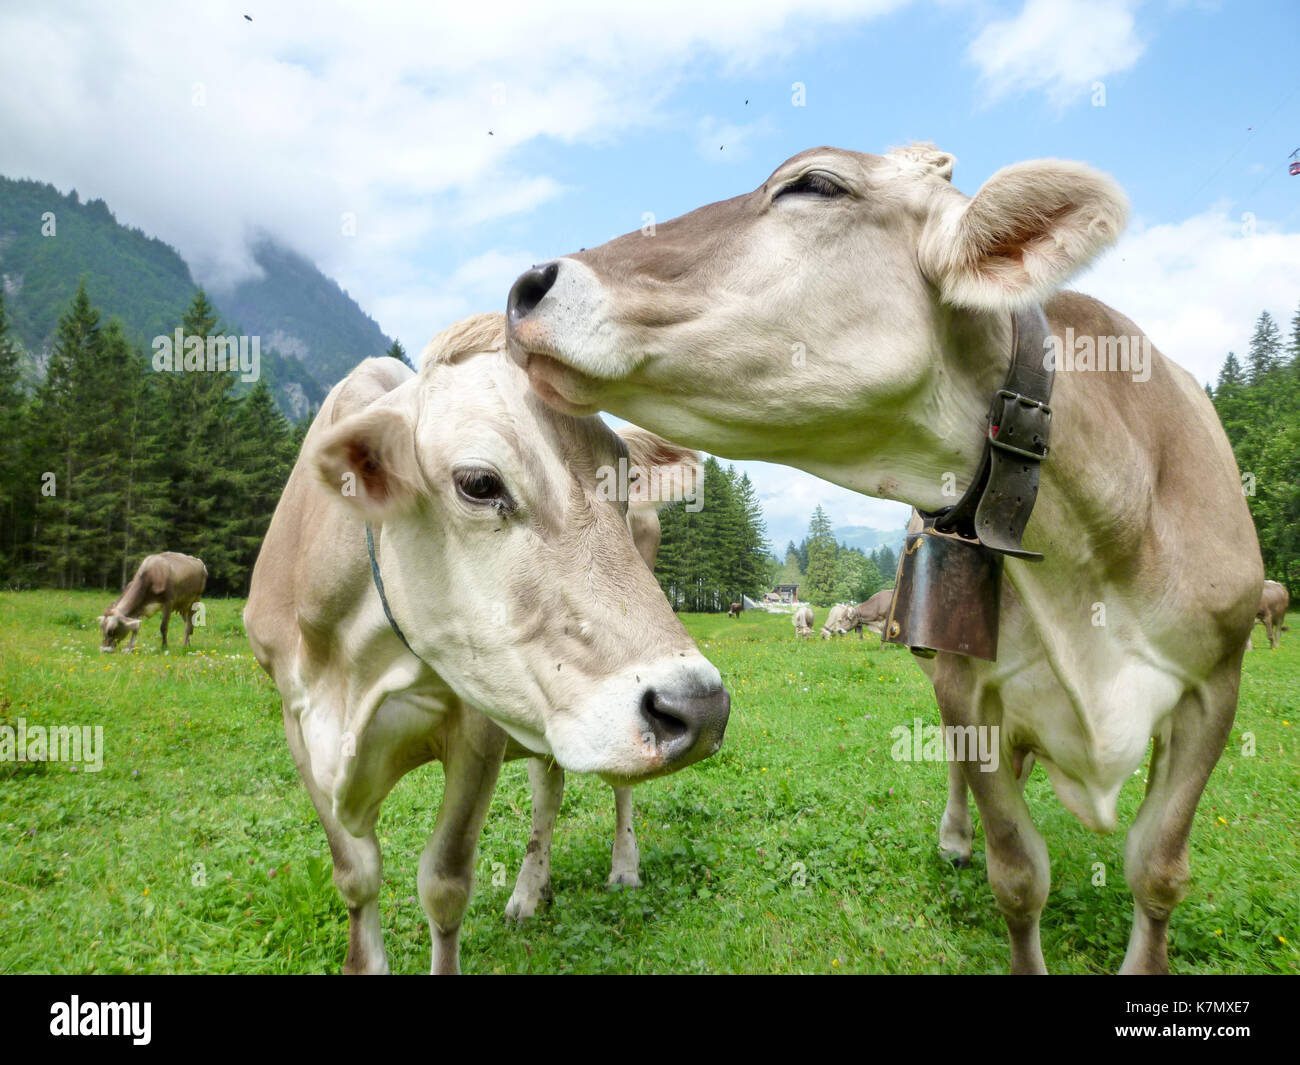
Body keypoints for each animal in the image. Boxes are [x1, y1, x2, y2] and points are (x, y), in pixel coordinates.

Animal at [244, 312, 729, 974]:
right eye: (478, 482)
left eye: (625, 479)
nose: (702, 706)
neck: (357, 674)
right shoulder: (296, 719)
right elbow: (355, 876)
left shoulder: (478, 727)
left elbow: (444, 883)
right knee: (549, 788)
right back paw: (530, 891)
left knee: (619, 787)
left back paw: (624, 867)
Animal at [505, 144, 1262, 974]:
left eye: (815, 183)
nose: (528, 284)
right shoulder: (970, 690)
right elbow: (1018, 873)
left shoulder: (1216, 687)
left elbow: (1157, 870)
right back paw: (956, 836)